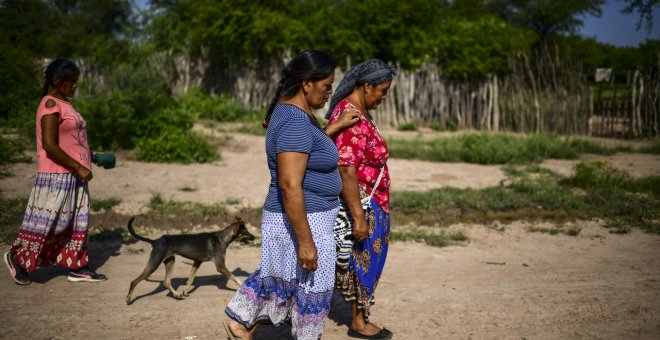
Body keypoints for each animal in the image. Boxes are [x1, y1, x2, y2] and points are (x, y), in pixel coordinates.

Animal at [124, 216, 255, 304]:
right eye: (245, 231)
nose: (255, 237)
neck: (222, 238)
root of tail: (155, 241)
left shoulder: (197, 262)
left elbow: (190, 280)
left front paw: (184, 291)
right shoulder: (220, 266)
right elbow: (235, 278)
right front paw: (244, 286)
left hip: (170, 261)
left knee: (166, 282)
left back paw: (177, 295)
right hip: (154, 263)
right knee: (134, 281)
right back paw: (128, 298)